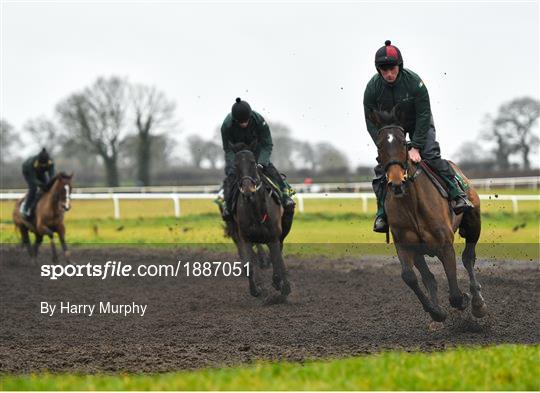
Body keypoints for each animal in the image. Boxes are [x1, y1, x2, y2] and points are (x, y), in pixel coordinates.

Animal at [228, 142, 296, 298]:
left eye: (253, 162)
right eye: (236, 164)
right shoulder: (246, 238)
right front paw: (256, 289)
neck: (256, 212)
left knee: (279, 254)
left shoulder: (273, 238)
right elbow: (249, 265)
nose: (248, 189)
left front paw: (282, 285)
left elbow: (277, 260)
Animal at [370, 109, 488, 322]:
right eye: (379, 144)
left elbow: (454, 290)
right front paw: (435, 311)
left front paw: (464, 300)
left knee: (468, 258)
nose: (396, 182)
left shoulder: (445, 244)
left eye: (403, 141)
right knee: (430, 275)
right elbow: (412, 277)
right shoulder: (407, 246)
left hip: (474, 223)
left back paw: (477, 303)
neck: (412, 206)